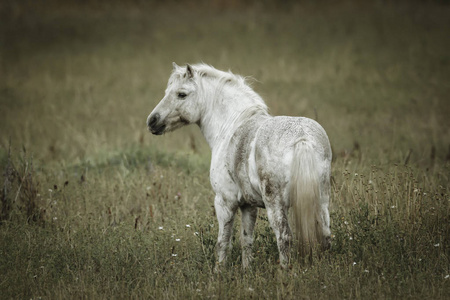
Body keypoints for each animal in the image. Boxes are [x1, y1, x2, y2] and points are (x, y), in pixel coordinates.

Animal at [147, 63, 330, 270]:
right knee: (325, 236)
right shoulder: (248, 205)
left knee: (284, 237)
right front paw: (246, 270)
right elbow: (246, 240)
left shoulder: (225, 202)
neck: (231, 126)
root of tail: (302, 139)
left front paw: (218, 271)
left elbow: (223, 242)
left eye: (181, 94)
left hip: (275, 204)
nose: (152, 121)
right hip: (321, 200)